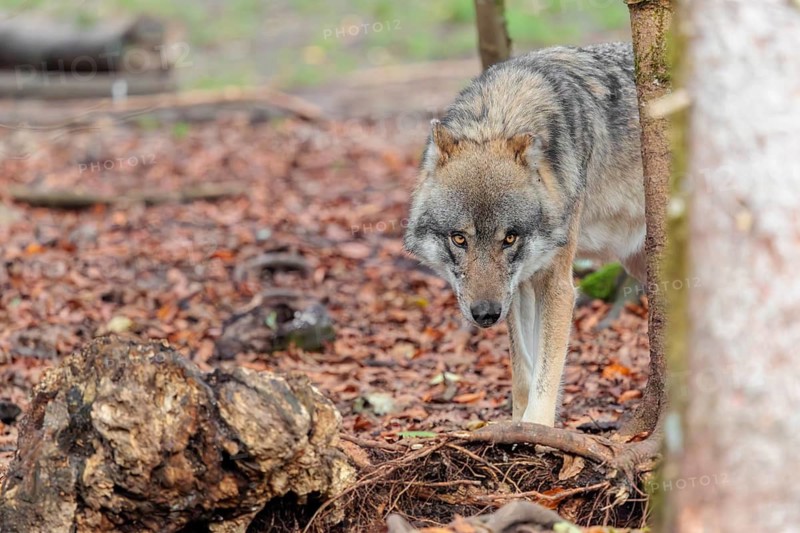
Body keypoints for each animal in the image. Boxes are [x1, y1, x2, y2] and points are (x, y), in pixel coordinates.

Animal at [404, 42, 645, 427]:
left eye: (509, 238)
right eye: (459, 238)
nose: (485, 314)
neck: (501, 113)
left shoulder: (557, 285)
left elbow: (546, 377)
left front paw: (536, 431)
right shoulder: (517, 289)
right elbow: (522, 374)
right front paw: (517, 424)